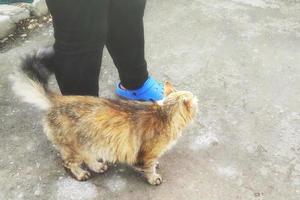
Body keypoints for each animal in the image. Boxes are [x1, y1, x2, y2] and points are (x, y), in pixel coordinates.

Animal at [9, 50, 197, 186]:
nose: (198, 100)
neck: (164, 113)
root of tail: (58, 99)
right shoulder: (147, 152)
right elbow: (149, 167)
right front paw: (153, 177)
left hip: (87, 143)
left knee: (87, 157)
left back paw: (98, 166)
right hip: (73, 148)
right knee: (69, 164)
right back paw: (81, 174)